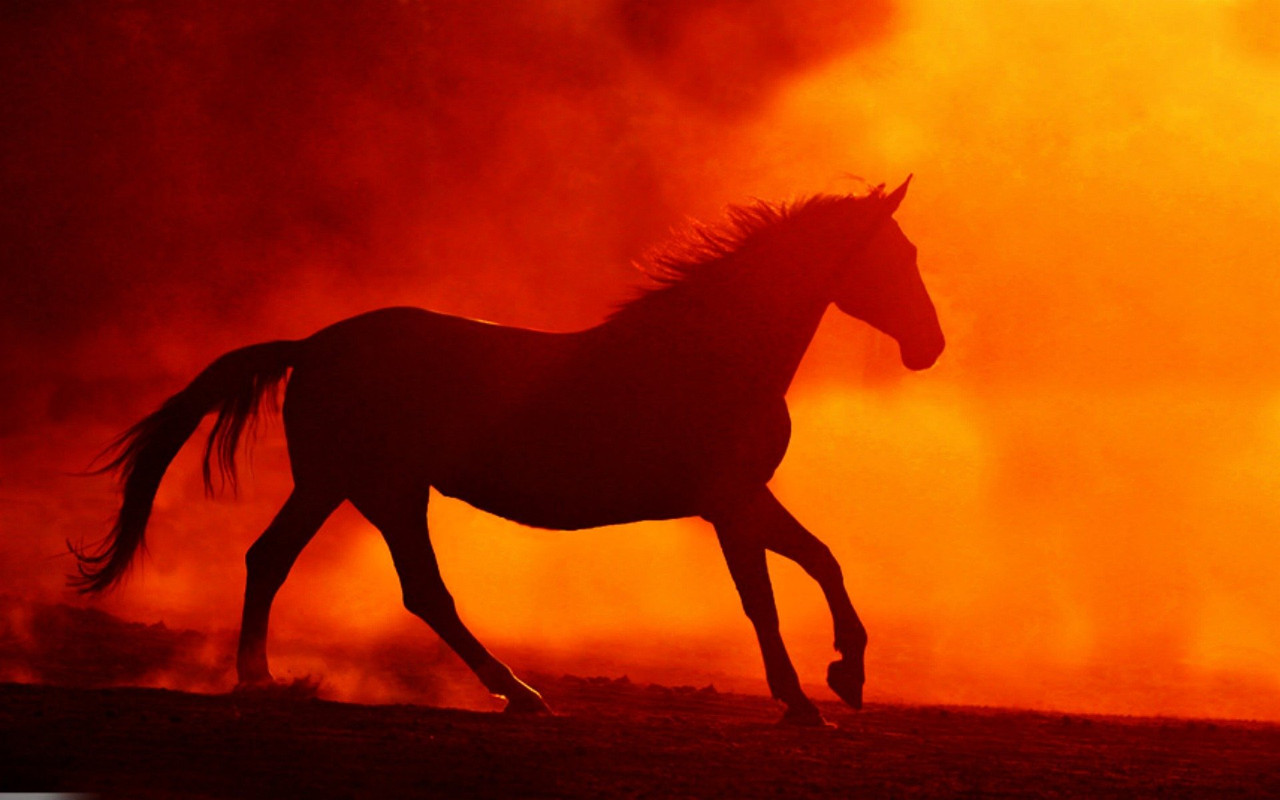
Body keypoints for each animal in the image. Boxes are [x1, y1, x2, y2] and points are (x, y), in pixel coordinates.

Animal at [72, 176, 943, 725]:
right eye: (898, 257)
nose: (929, 348)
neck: (710, 351)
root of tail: (314, 345)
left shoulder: (741, 500)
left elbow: (821, 558)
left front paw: (844, 678)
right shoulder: (728, 502)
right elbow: (767, 596)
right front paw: (808, 698)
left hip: (334, 484)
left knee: (271, 558)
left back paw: (263, 680)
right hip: (384, 490)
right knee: (422, 592)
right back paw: (516, 692)